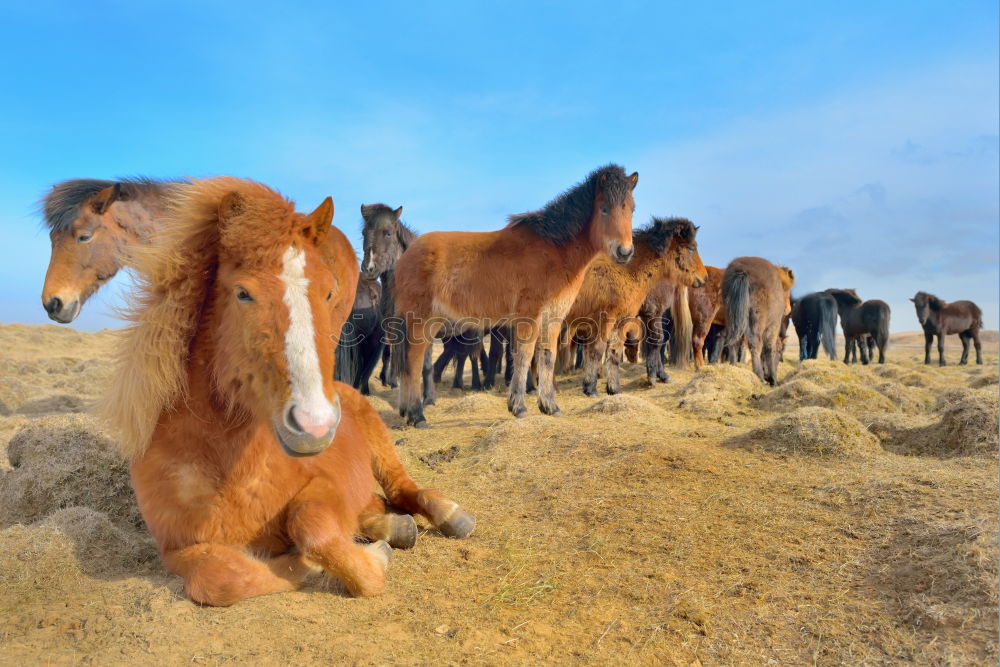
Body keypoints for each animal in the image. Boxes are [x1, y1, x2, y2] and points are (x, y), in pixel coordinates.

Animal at [99, 180, 474, 608]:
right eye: (242, 293)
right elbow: (220, 578)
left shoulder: (326, 485)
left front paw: (367, 559)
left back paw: (448, 515)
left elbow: (310, 524)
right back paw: (391, 527)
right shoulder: (176, 548)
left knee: (401, 487)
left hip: (381, 446)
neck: (229, 468)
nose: (316, 425)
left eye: (329, 292)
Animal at [392, 164, 636, 426]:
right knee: (413, 362)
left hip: (431, 322)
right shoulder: (529, 317)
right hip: (420, 321)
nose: (624, 252)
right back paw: (417, 415)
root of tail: (407, 253)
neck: (554, 251)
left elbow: (547, 358)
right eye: (604, 208)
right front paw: (519, 407)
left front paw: (550, 406)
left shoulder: (553, 319)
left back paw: (407, 412)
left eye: (631, 208)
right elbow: (523, 357)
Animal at [720, 258, 796, 388]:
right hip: (757, 321)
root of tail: (742, 271)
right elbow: (769, 347)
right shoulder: (773, 325)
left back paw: (734, 368)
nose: (788, 308)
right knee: (756, 344)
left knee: (733, 342)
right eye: (786, 290)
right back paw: (759, 375)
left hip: (732, 319)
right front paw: (773, 379)